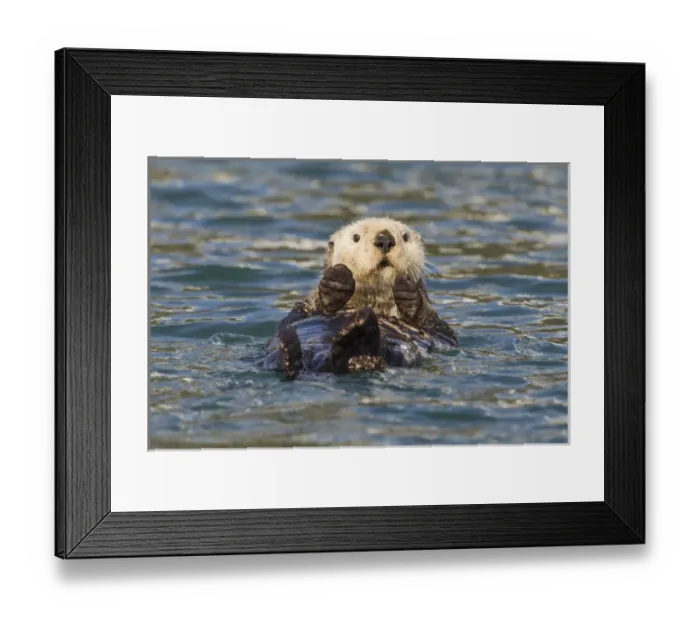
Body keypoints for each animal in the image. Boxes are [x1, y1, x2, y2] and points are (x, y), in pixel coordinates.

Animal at [262, 217, 458, 379]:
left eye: (405, 236)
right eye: (356, 237)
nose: (385, 239)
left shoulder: (441, 333)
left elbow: (440, 330)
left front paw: (408, 288)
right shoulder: (302, 309)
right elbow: (299, 314)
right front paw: (336, 282)